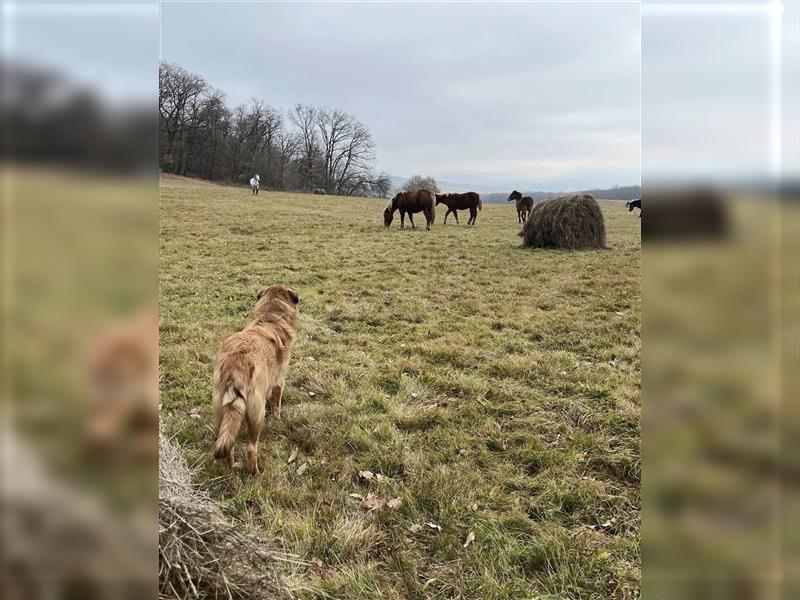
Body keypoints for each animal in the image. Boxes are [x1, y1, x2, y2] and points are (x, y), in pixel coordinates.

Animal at [212, 284, 300, 474]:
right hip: (257, 415)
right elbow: (276, 406)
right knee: (251, 449)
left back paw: (231, 466)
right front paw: (277, 421)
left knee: (228, 444)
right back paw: (255, 473)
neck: (269, 317)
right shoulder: (278, 382)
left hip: (221, 412)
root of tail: (236, 368)